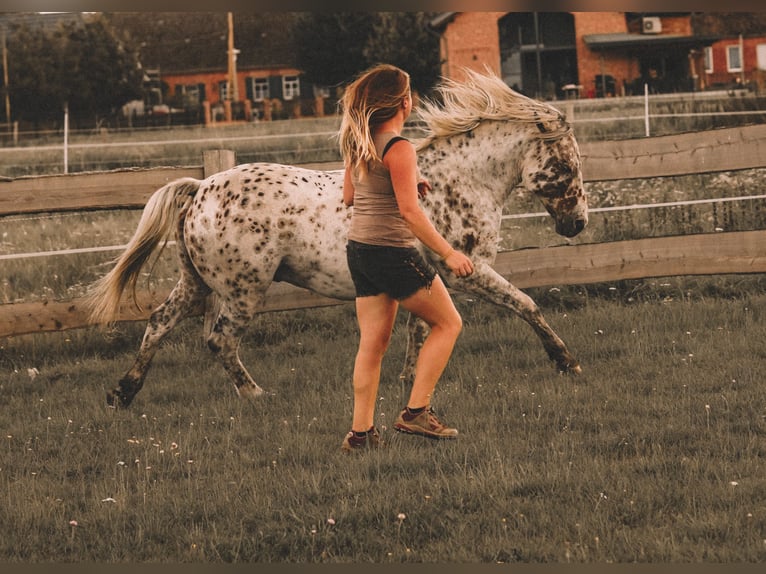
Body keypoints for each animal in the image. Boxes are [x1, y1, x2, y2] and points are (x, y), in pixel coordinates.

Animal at [87, 70, 588, 408]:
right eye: (567, 163)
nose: (577, 224)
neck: (458, 182)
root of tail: (201, 189)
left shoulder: (424, 278)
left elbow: (418, 330)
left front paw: (408, 381)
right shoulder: (466, 271)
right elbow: (526, 303)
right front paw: (566, 361)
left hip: (195, 283)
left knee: (158, 322)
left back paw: (122, 393)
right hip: (241, 290)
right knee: (219, 340)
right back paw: (255, 394)